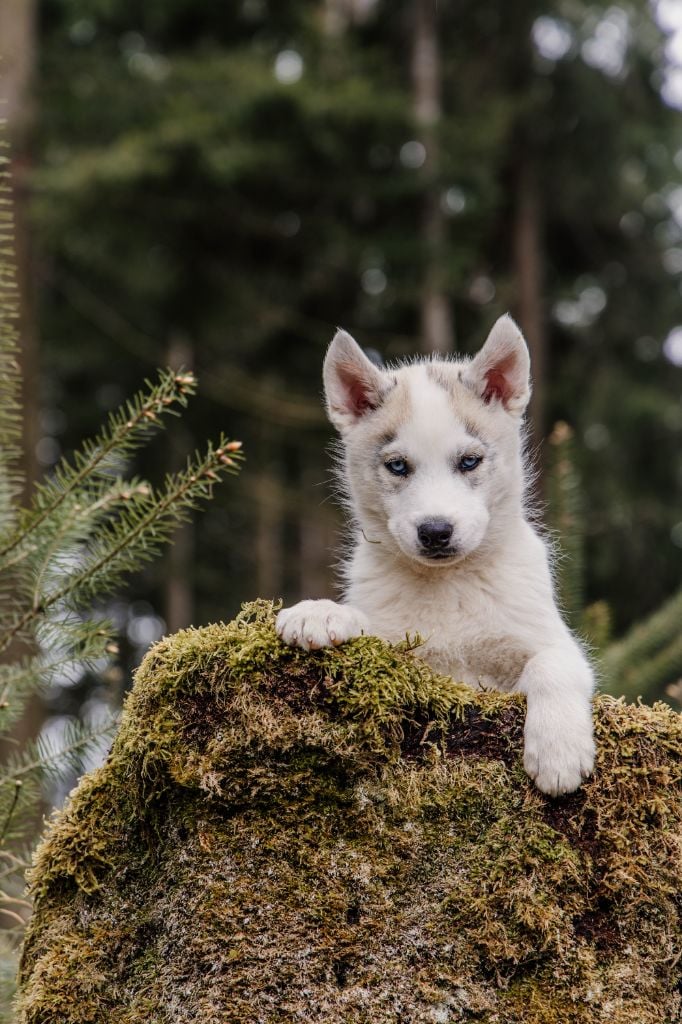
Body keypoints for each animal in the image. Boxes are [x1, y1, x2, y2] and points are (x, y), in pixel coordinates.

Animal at [276, 315, 595, 795]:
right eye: (397, 466)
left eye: (469, 462)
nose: (435, 532)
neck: (451, 586)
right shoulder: (404, 646)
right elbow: (367, 624)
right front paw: (320, 612)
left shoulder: (548, 640)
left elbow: (554, 663)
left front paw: (559, 751)